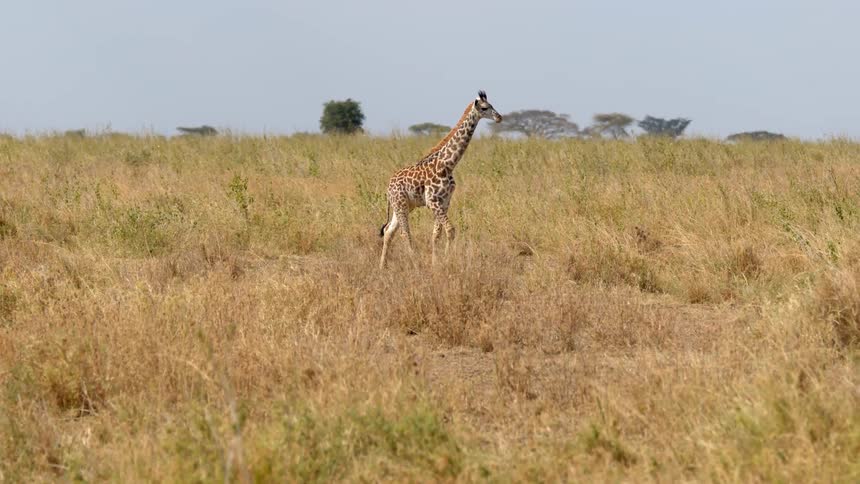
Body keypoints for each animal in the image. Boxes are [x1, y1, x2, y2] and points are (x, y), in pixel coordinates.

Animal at [379, 90, 502, 269]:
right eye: (485, 107)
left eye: (492, 105)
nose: (499, 117)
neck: (448, 164)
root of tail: (388, 186)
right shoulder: (433, 202)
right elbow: (450, 230)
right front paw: (446, 259)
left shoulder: (444, 202)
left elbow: (436, 234)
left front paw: (437, 262)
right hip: (400, 204)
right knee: (404, 232)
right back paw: (414, 263)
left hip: (405, 206)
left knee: (389, 231)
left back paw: (382, 266)